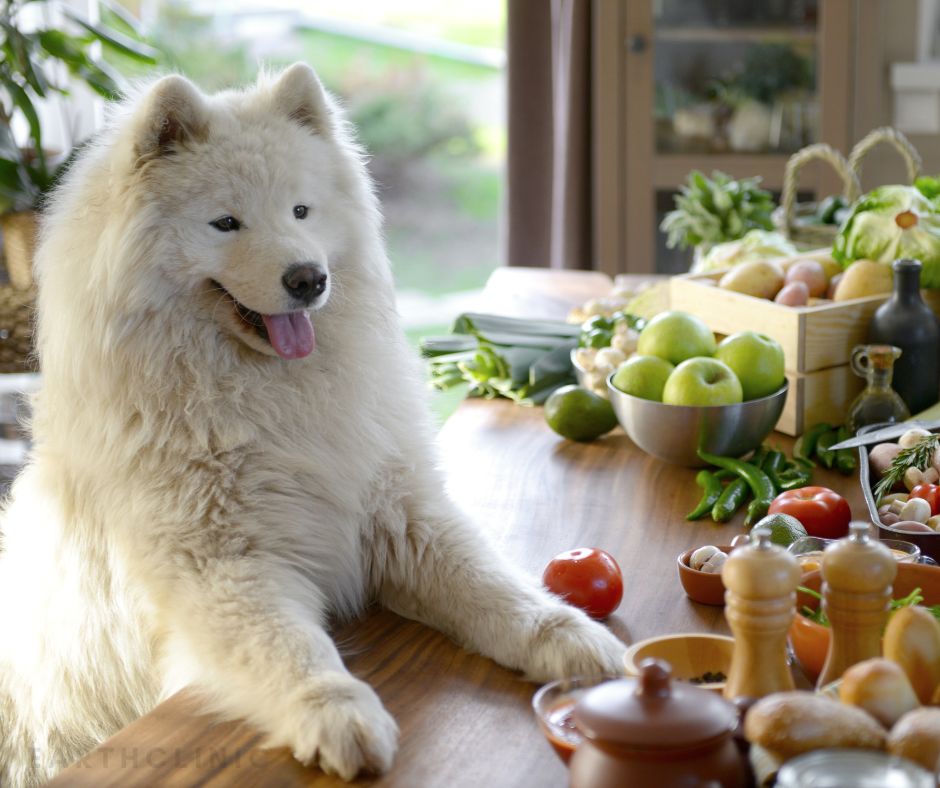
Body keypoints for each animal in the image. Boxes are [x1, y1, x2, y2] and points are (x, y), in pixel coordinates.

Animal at [0, 64, 624, 784]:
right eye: (226, 222)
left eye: (301, 211)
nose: (308, 278)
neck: (272, 395)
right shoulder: (224, 567)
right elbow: (294, 650)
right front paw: (339, 717)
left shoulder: (401, 516)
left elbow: (494, 586)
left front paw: (569, 634)